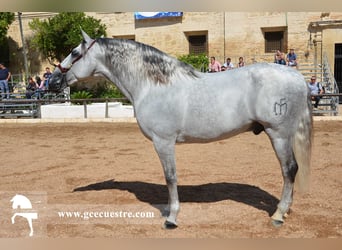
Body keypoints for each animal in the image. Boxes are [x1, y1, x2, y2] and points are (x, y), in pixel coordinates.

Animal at [48, 30, 312, 229]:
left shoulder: (163, 141)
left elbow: (170, 177)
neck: (153, 85)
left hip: (278, 134)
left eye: (75, 53)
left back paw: (278, 215)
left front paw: (172, 218)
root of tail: (297, 76)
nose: (52, 81)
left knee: (289, 169)